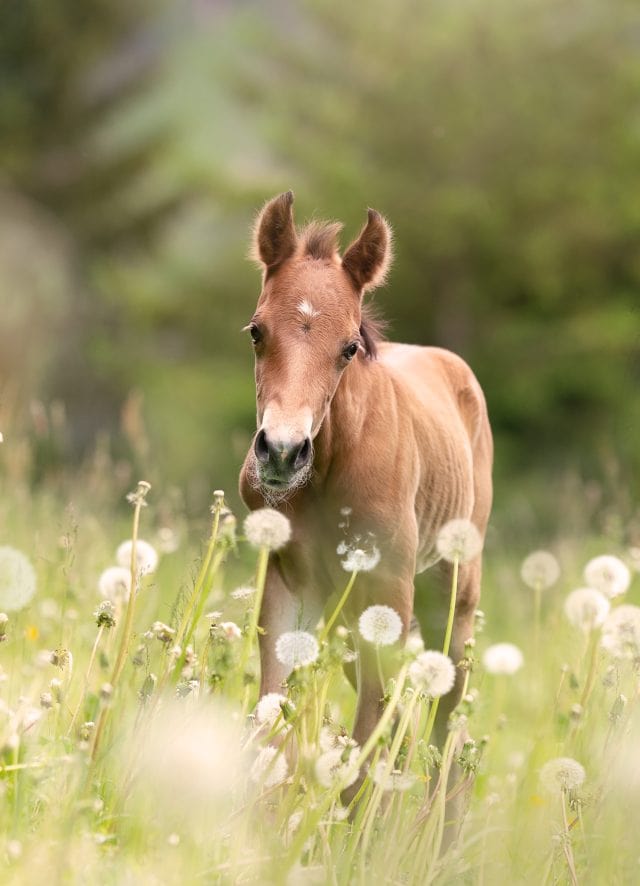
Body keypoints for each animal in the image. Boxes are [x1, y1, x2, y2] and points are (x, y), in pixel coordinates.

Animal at [240, 194, 496, 764]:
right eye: (256, 331)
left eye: (349, 347)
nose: (282, 452)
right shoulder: (289, 582)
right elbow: (270, 718)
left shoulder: (389, 589)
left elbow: (369, 740)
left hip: (453, 594)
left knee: (448, 727)